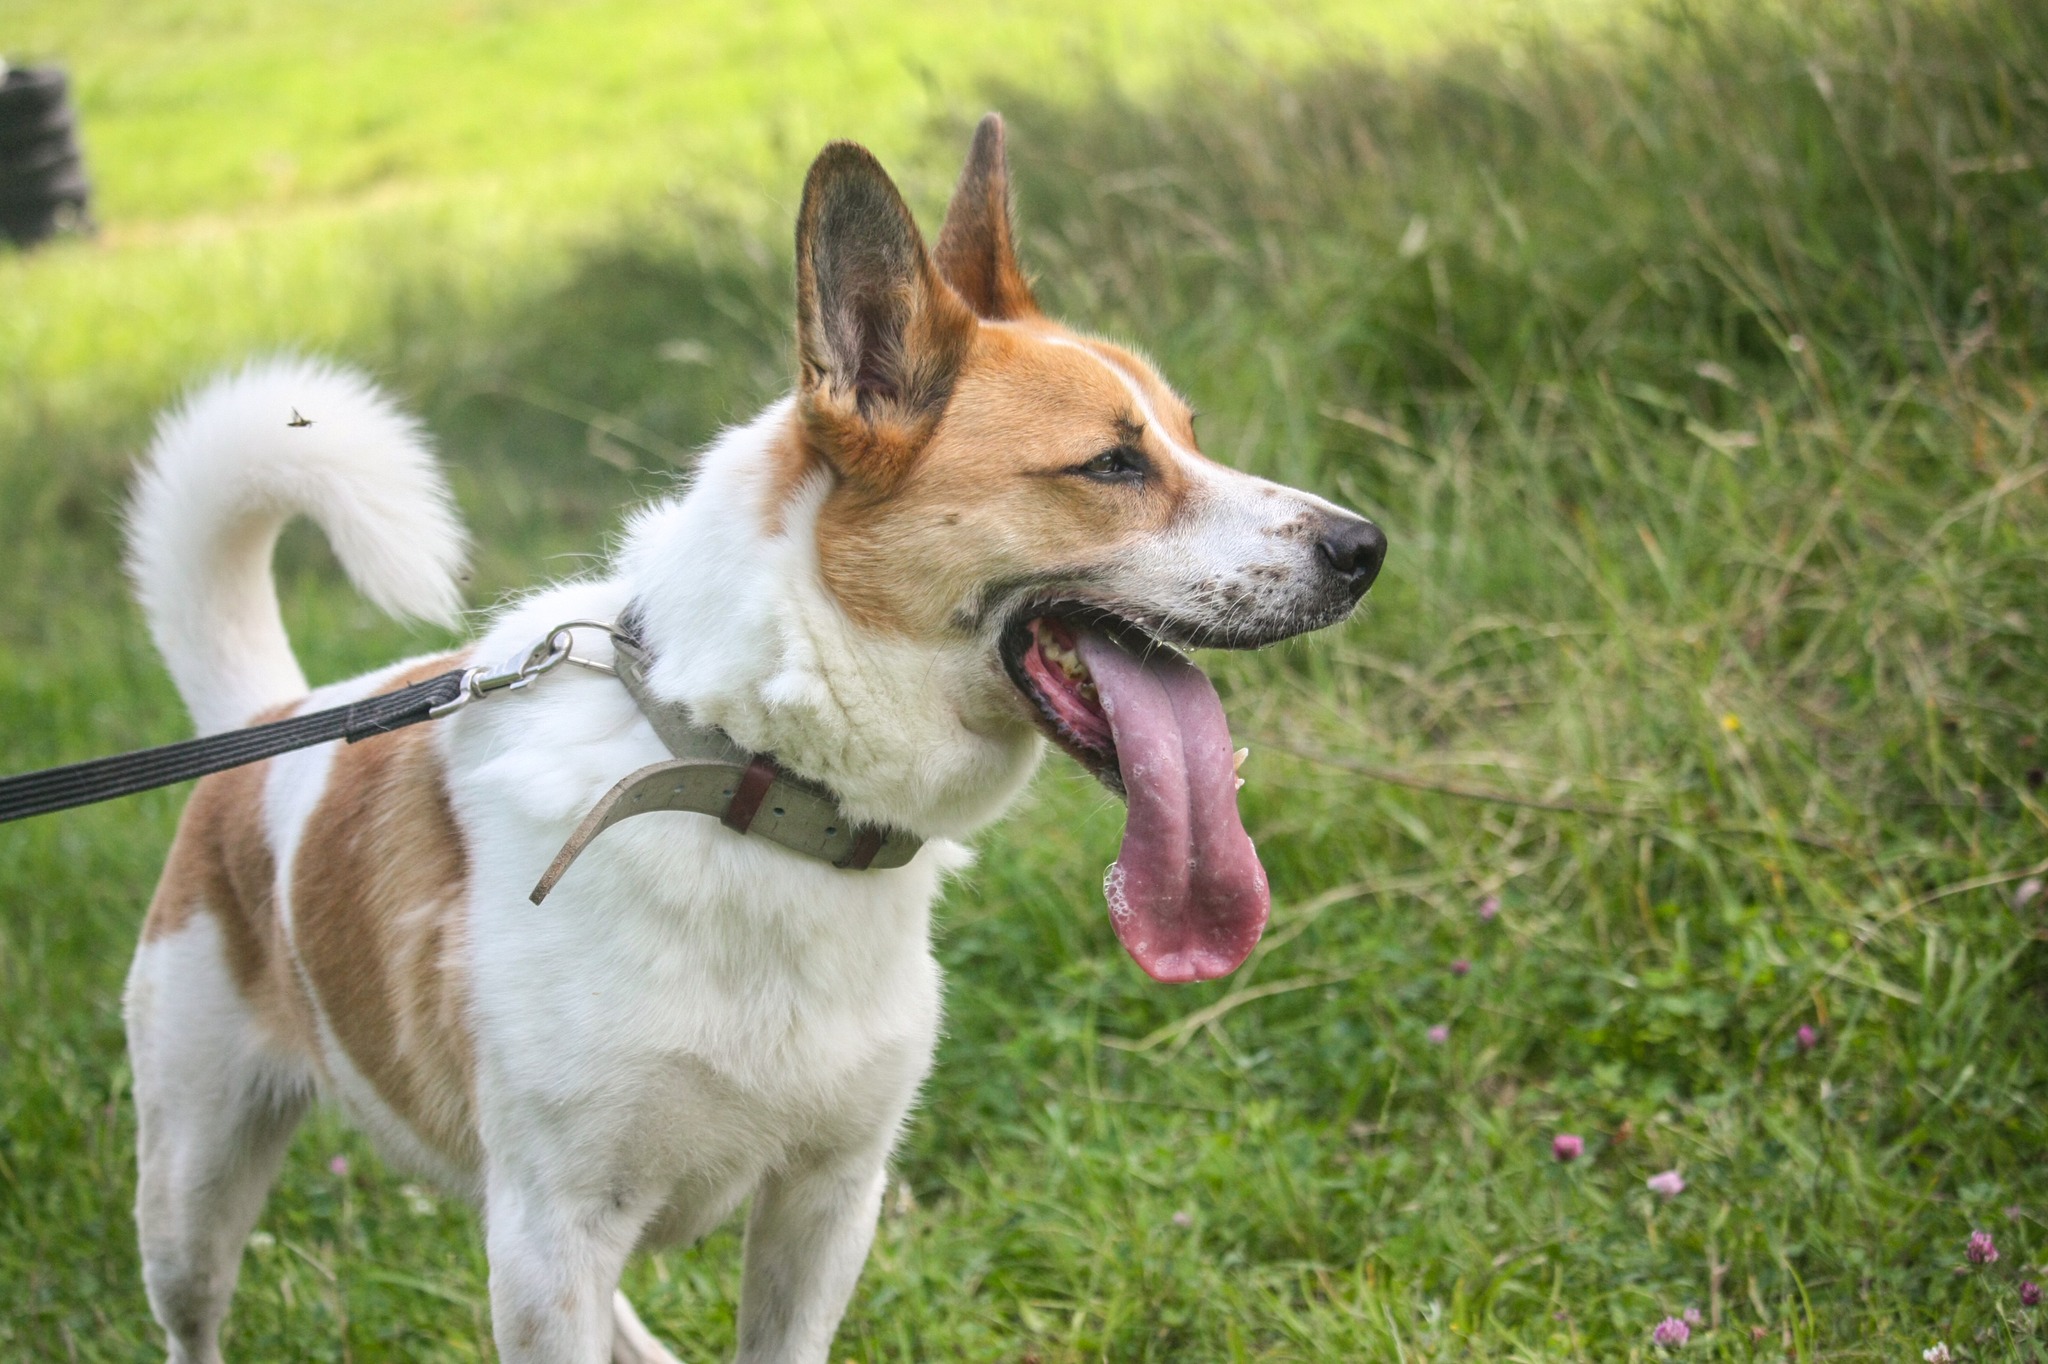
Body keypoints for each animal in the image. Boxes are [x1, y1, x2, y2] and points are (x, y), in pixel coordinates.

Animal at [118, 116, 1385, 1364]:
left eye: (1188, 437)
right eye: (1114, 463)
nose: (1366, 546)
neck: (745, 779)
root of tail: (271, 717)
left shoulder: (825, 1203)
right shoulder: (554, 1231)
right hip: (193, 1183)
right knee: (191, 1317)